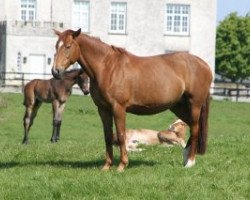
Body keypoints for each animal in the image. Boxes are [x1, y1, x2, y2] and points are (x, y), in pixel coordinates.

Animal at [51, 28, 212, 171]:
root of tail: (204, 65)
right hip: (178, 106)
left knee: (195, 129)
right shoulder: (103, 109)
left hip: (194, 104)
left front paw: (122, 165)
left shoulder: (119, 108)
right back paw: (186, 158)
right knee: (191, 127)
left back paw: (190, 162)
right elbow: (108, 136)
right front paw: (106, 166)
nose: (55, 71)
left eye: (68, 46)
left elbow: (121, 135)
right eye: (56, 46)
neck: (107, 68)